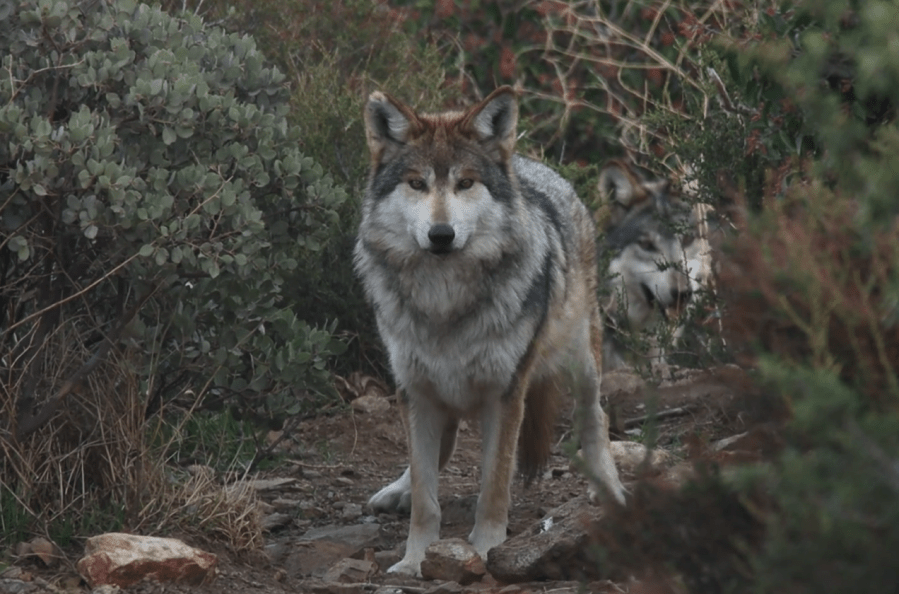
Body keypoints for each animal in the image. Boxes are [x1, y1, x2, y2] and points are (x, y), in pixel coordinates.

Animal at [354, 86, 624, 572]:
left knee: (597, 420)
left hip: (582, 363)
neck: (444, 300)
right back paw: (398, 489)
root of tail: (533, 164)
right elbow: (426, 497)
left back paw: (612, 492)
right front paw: (413, 559)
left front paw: (484, 549)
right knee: (438, 450)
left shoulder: (505, 394)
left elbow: (493, 487)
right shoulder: (415, 391)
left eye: (465, 183)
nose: (441, 234)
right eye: (417, 184)